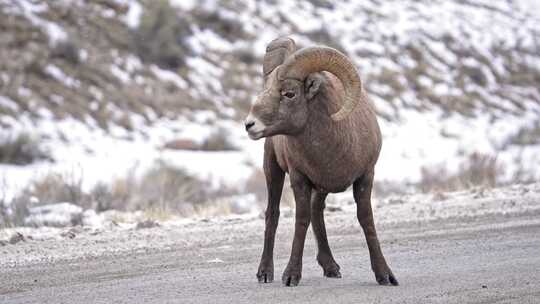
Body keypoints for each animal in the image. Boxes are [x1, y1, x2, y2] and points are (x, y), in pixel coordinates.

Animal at [245, 38, 396, 288]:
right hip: (273, 170)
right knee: (273, 214)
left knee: (317, 212)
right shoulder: (299, 179)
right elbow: (301, 220)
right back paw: (265, 273)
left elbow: (366, 220)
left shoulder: (365, 177)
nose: (249, 124)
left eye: (289, 93)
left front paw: (385, 275)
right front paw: (291, 276)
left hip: (321, 189)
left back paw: (331, 267)